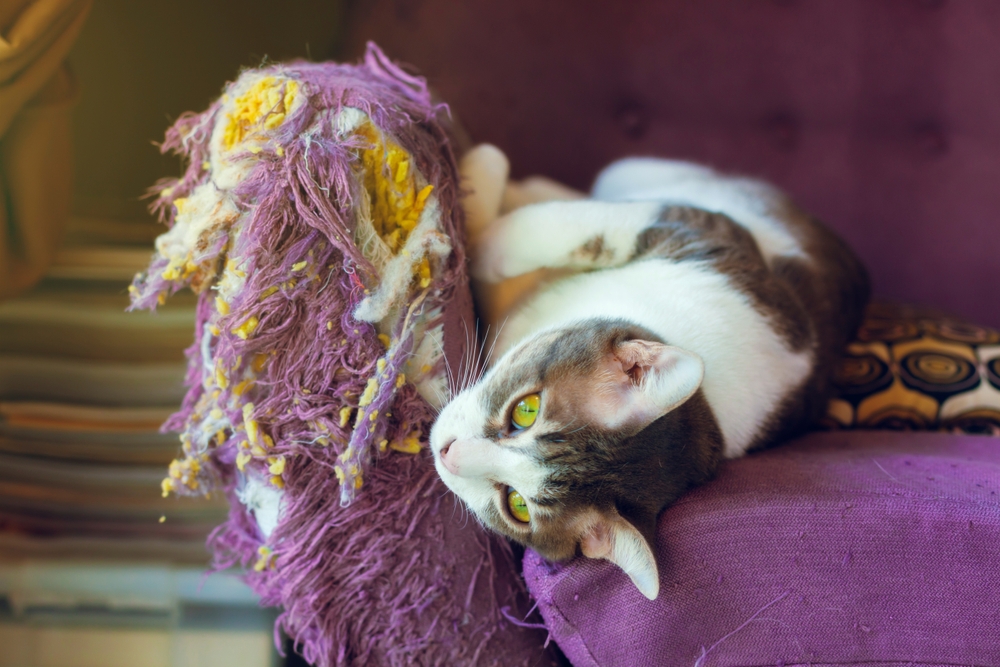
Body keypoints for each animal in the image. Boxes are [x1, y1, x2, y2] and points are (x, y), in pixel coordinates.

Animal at [430, 157, 868, 600]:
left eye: (517, 505)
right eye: (526, 410)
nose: (447, 453)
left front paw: (474, 223)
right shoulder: (701, 229)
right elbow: (576, 232)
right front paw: (481, 202)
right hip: (640, 172)